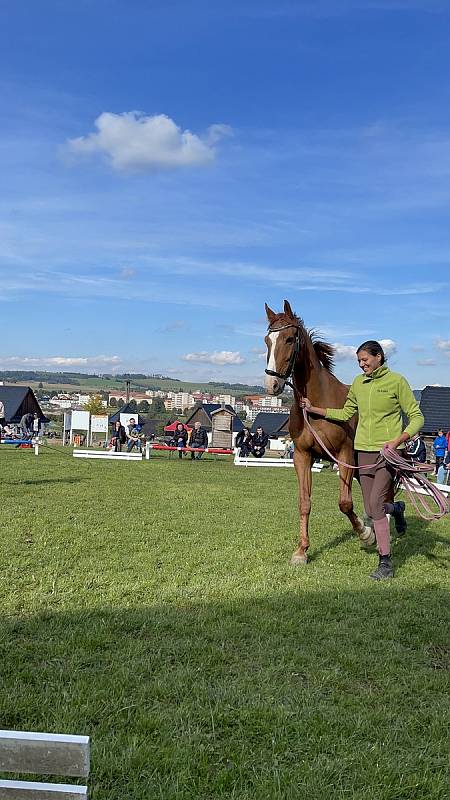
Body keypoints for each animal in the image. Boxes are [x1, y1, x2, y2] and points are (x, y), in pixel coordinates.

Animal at [264, 298, 372, 564]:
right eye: (267, 341)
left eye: (289, 339)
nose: (272, 385)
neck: (317, 404)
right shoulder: (303, 456)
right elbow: (304, 502)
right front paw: (301, 551)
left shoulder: (343, 454)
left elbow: (345, 503)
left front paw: (365, 535)